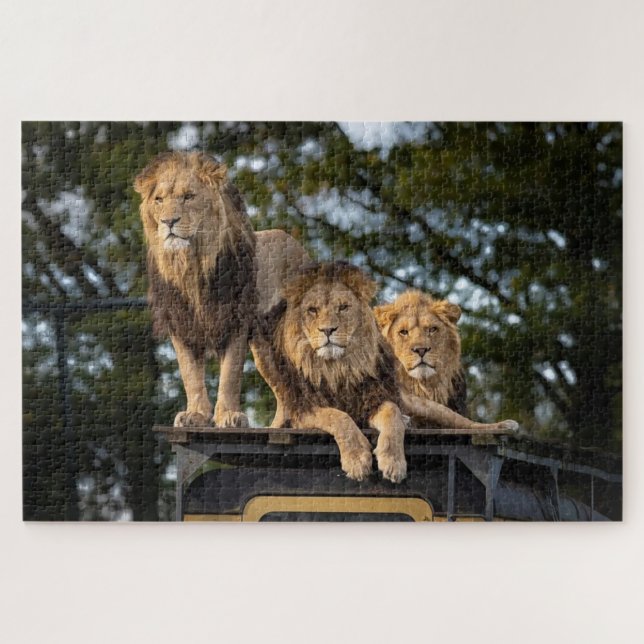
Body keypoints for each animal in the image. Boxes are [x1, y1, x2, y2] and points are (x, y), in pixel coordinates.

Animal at [134, 151, 309, 428]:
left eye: (189, 196)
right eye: (159, 200)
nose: (168, 221)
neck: (191, 267)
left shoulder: (235, 321)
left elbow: (230, 374)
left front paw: (228, 416)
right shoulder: (181, 325)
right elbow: (190, 375)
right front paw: (195, 415)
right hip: (264, 348)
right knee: (284, 389)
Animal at [250, 262, 407, 483]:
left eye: (343, 307)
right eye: (312, 310)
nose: (327, 330)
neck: (336, 369)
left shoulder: (372, 399)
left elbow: (392, 413)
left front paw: (393, 462)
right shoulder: (303, 408)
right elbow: (338, 416)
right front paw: (357, 459)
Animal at [374, 290, 519, 432]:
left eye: (432, 329)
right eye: (403, 332)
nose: (421, 350)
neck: (423, 387)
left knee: (468, 423)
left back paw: (506, 425)